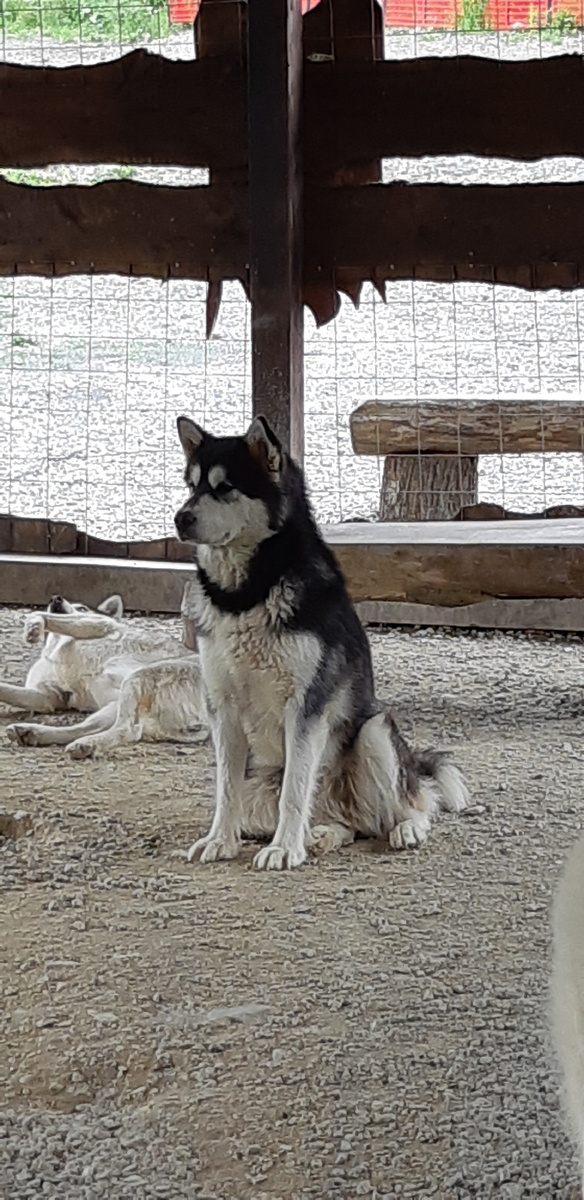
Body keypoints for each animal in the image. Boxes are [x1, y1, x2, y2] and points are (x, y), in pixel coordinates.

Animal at [0, 592, 203, 758]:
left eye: (82, 607)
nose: (55, 598)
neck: (60, 645)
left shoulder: (100, 624)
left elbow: (43, 615)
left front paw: (34, 626)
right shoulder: (48, 697)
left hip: (136, 679)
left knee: (127, 729)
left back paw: (88, 743)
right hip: (118, 704)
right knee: (89, 728)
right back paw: (32, 732)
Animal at [175, 412, 470, 873]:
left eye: (224, 488)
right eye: (192, 486)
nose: (179, 518)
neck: (247, 594)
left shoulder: (306, 706)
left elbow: (296, 790)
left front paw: (283, 848)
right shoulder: (221, 706)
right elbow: (226, 789)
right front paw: (220, 840)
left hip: (374, 731)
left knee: (407, 805)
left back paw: (405, 829)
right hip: (263, 779)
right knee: (343, 822)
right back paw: (323, 835)